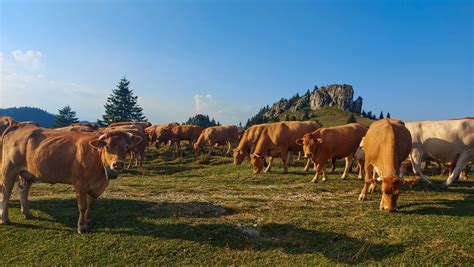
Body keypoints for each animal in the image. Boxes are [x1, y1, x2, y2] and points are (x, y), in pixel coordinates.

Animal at [0, 126, 142, 233]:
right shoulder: (80, 184)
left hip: (27, 173)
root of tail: (19, 128)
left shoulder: (93, 186)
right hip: (8, 170)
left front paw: (87, 220)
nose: (118, 164)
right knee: (5, 193)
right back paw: (5, 219)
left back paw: (27, 213)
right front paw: (81, 226)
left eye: (126, 147)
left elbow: (89, 205)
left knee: (23, 190)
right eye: (107, 146)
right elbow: (83, 206)